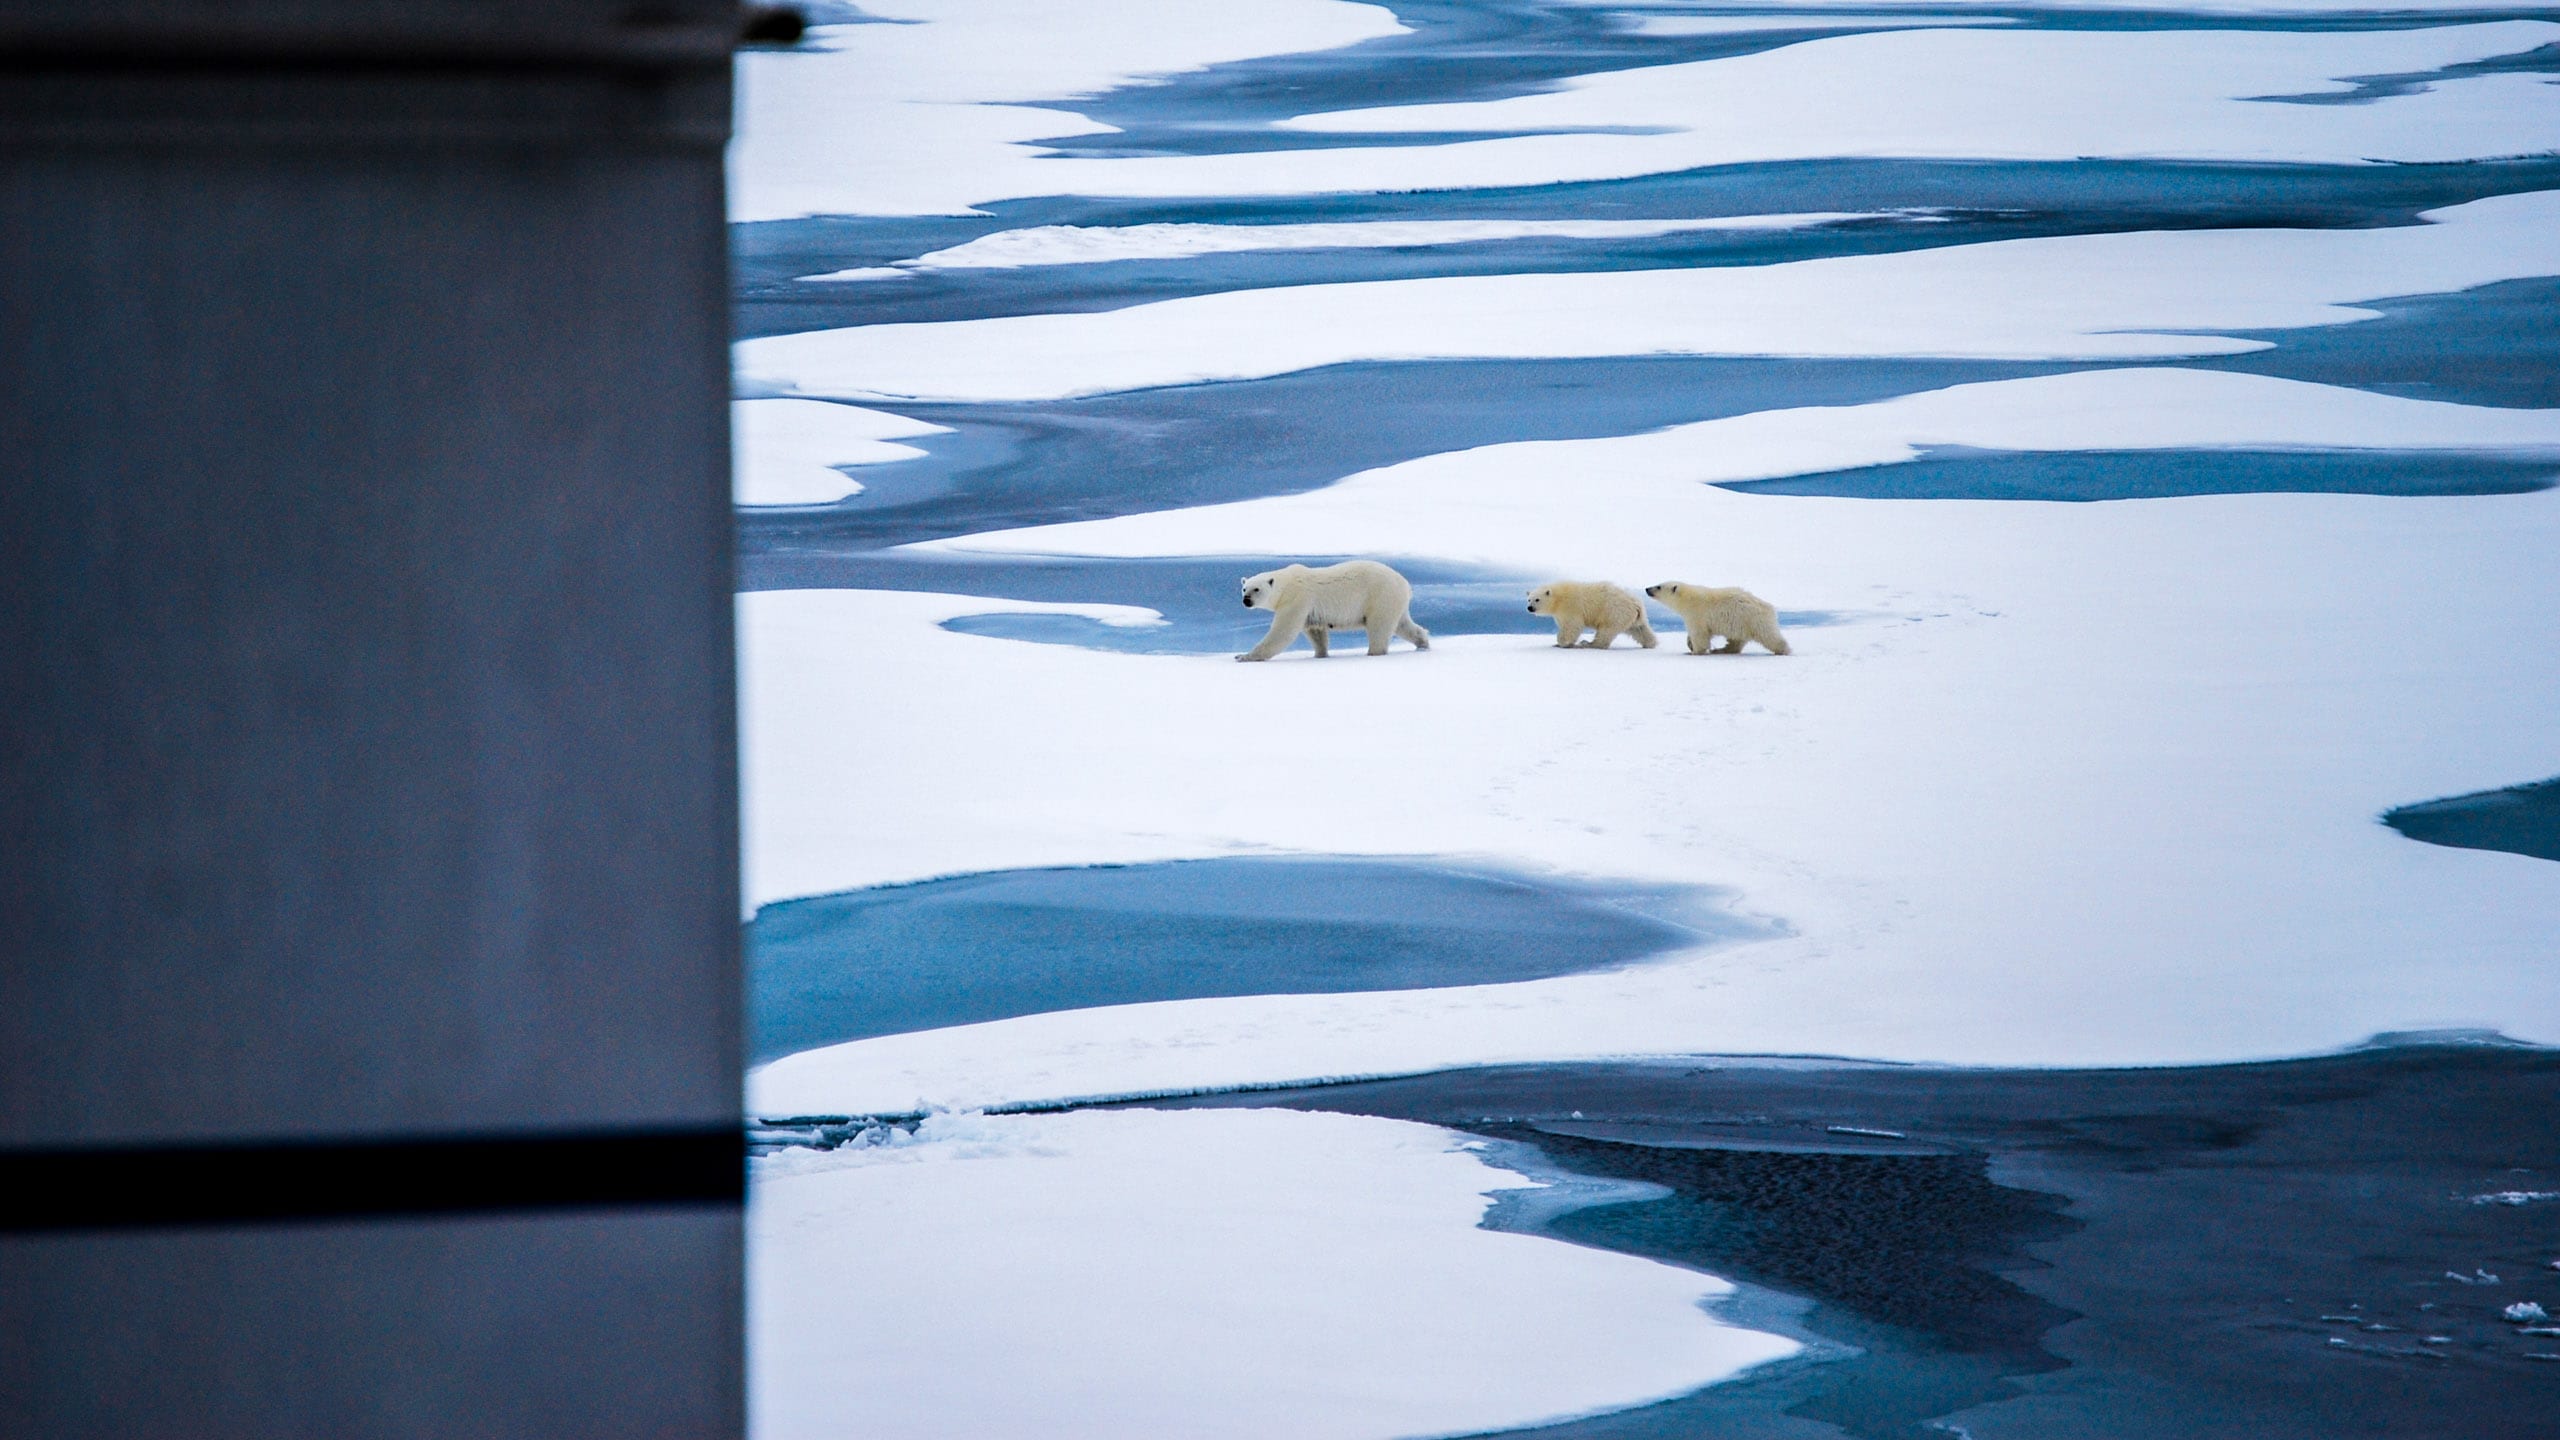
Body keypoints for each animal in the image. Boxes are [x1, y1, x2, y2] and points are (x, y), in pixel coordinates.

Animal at [1233, 558, 1433, 661]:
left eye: (1256, 589)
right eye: (1244, 588)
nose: (1246, 600)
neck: (1286, 584)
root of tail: (1405, 583)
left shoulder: (1297, 599)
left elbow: (1283, 632)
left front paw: (1244, 656)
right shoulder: (1310, 610)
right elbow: (1315, 632)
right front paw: (1320, 654)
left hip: (1380, 596)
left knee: (1379, 627)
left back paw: (1374, 652)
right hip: (1394, 600)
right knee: (1403, 624)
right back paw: (1423, 643)